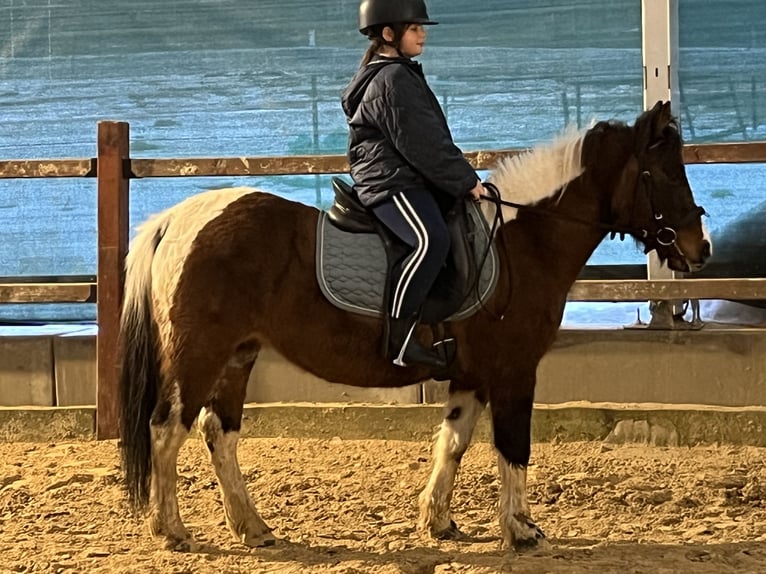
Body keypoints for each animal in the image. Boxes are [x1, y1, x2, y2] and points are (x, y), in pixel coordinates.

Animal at [118, 101, 711, 552]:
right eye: (663, 174)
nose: (699, 248)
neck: (523, 241)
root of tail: (176, 220)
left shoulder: (471, 376)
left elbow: (454, 440)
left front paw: (439, 520)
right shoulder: (515, 371)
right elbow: (513, 447)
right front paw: (521, 530)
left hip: (238, 353)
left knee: (219, 432)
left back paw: (253, 527)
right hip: (200, 353)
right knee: (167, 429)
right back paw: (171, 530)